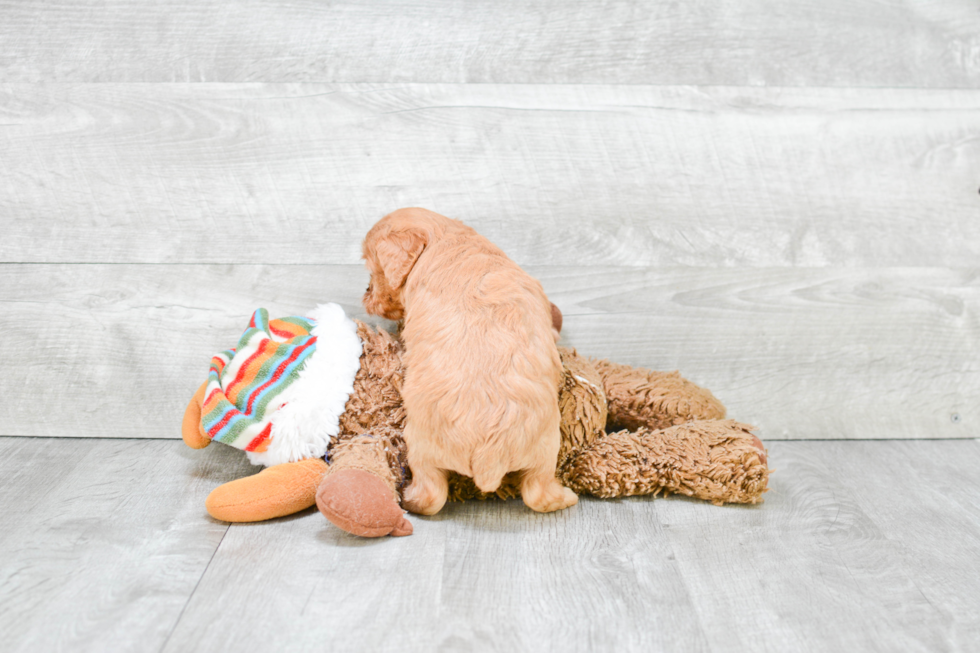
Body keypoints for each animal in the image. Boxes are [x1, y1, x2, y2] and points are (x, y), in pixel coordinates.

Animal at [364, 209, 580, 516]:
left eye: (373, 268)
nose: (366, 293)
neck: (444, 241)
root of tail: (488, 460)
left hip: (421, 449)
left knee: (431, 497)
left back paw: (408, 498)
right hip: (545, 451)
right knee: (538, 493)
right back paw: (566, 497)